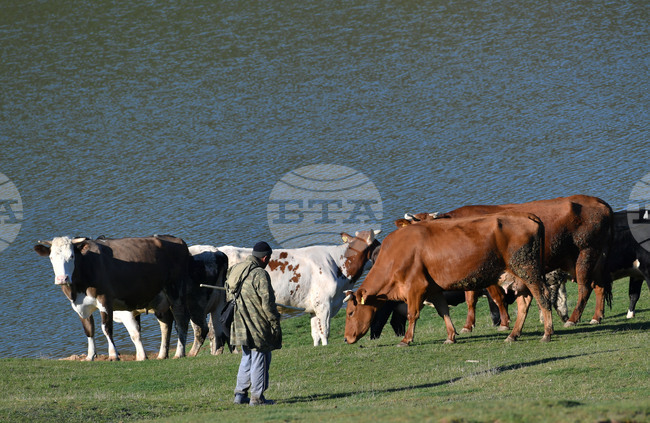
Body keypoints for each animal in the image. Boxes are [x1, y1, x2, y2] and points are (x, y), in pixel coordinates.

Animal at [34, 235, 209, 361]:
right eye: (51, 258)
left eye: (71, 256)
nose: (62, 278)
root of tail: (177, 240)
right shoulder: (80, 306)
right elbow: (89, 330)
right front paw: (90, 356)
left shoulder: (105, 300)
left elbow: (106, 328)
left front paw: (113, 355)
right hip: (159, 299)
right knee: (166, 324)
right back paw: (162, 355)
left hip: (175, 291)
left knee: (181, 321)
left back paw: (179, 353)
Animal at [344, 212, 554, 346]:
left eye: (350, 313)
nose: (346, 338)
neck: (396, 254)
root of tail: (527, 216)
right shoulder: (433, 289)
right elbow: (443, 311)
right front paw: (451, 336)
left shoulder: (415, 288)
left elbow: (412, 314)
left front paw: (406, 340)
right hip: (519, 276)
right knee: (524, 302)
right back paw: (513, 334)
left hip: (528, 270)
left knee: (543, 296)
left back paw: (547, 333)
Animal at [404, 194, 614, 327]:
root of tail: (598, 201)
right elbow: (471, 299)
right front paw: (468, 326)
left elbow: (497, 298)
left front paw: (504, 323)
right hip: (593, 258)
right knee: (599, 286)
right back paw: (596, 316)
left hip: (586, 254)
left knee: (585, 288)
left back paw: (573, 319)